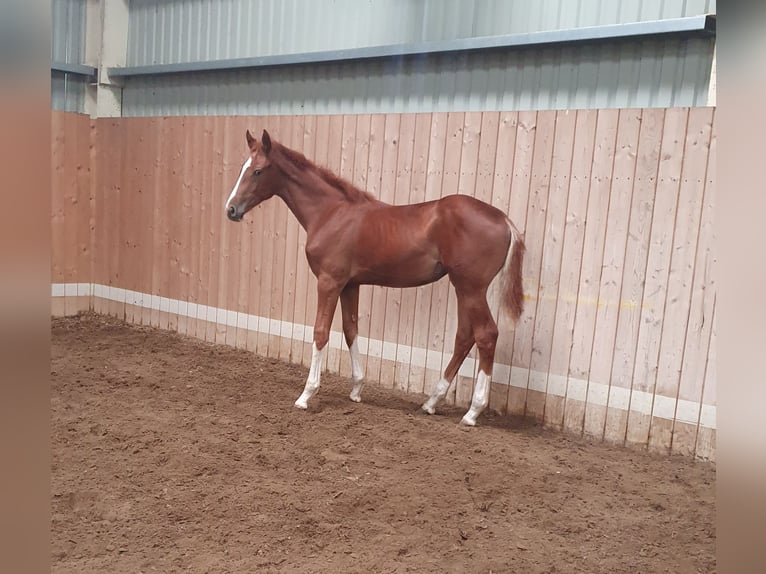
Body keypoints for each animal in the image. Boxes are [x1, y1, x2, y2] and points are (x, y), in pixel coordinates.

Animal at [226, 130, 528, 428]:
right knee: (465, 337)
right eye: (242, 168)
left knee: (486, 335)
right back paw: (431, 402)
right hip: (463, 288)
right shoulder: (350, 284)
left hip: (471, 288)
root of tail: (503, 219)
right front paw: (357, 390)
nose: (231, 210)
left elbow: (321, 332)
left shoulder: (329, 281)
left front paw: (306, 395)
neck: (331, 213)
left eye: (258, 171)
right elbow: (351, 329)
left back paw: (472, 412)